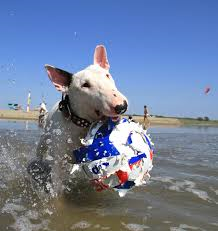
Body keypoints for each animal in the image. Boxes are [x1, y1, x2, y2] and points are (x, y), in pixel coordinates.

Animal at [28, 45, 129, 193]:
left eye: (107, 75)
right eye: (85, 85)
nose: (121, 106)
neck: (81, 125)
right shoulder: (58, 162)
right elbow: (56, 188)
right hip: (44, 141)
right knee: (39, 154)